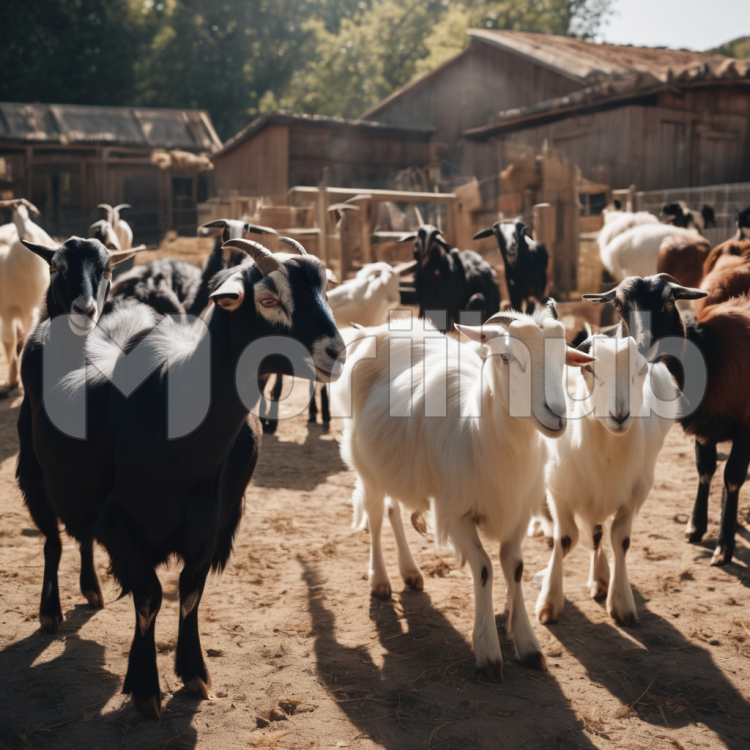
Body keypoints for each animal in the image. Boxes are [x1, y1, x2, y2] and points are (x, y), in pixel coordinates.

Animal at [17, 237, 344, 719]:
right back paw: (49, 613)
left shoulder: (213, 521)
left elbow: (190, 593)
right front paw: (145, 688)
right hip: (34, 472)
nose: (336, 352)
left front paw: (193, 673)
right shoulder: (120, 521)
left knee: (78, 535)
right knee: (53, 541)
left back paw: (92, 590)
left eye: (324, 289)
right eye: (268, 300)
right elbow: (150, 597)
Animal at [332, 302, 595, 677]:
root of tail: (379, 329)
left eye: (563, 359)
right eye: (505, 357)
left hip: (395, 465)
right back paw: (380, 579)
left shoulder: (516, 514)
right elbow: (484, 568)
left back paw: (410, 572)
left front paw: (528, 644)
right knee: (376, 515)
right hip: (366, 467)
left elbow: (514, 568)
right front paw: (488, 653)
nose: (557, 414)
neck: (483, 434)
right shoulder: (456, 513)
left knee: (393, 508)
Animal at [536, 331, 679, 626]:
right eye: (589, 369)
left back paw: (601, 579)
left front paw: (622, 603)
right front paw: (549, 601)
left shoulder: (635, 495)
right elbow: (565, 539)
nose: (620, 415)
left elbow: (620, 540)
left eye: (641, 369)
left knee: (598, 531)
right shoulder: (558, 491)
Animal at [584, 274, 750, 566]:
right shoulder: (704, 428)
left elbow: (731, 478)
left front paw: (724, 547)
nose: (643, 346)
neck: (709, 357)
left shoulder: (745, 428)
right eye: (618, 305)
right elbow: (705, 470)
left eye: (669, 301)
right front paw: (696, 526)